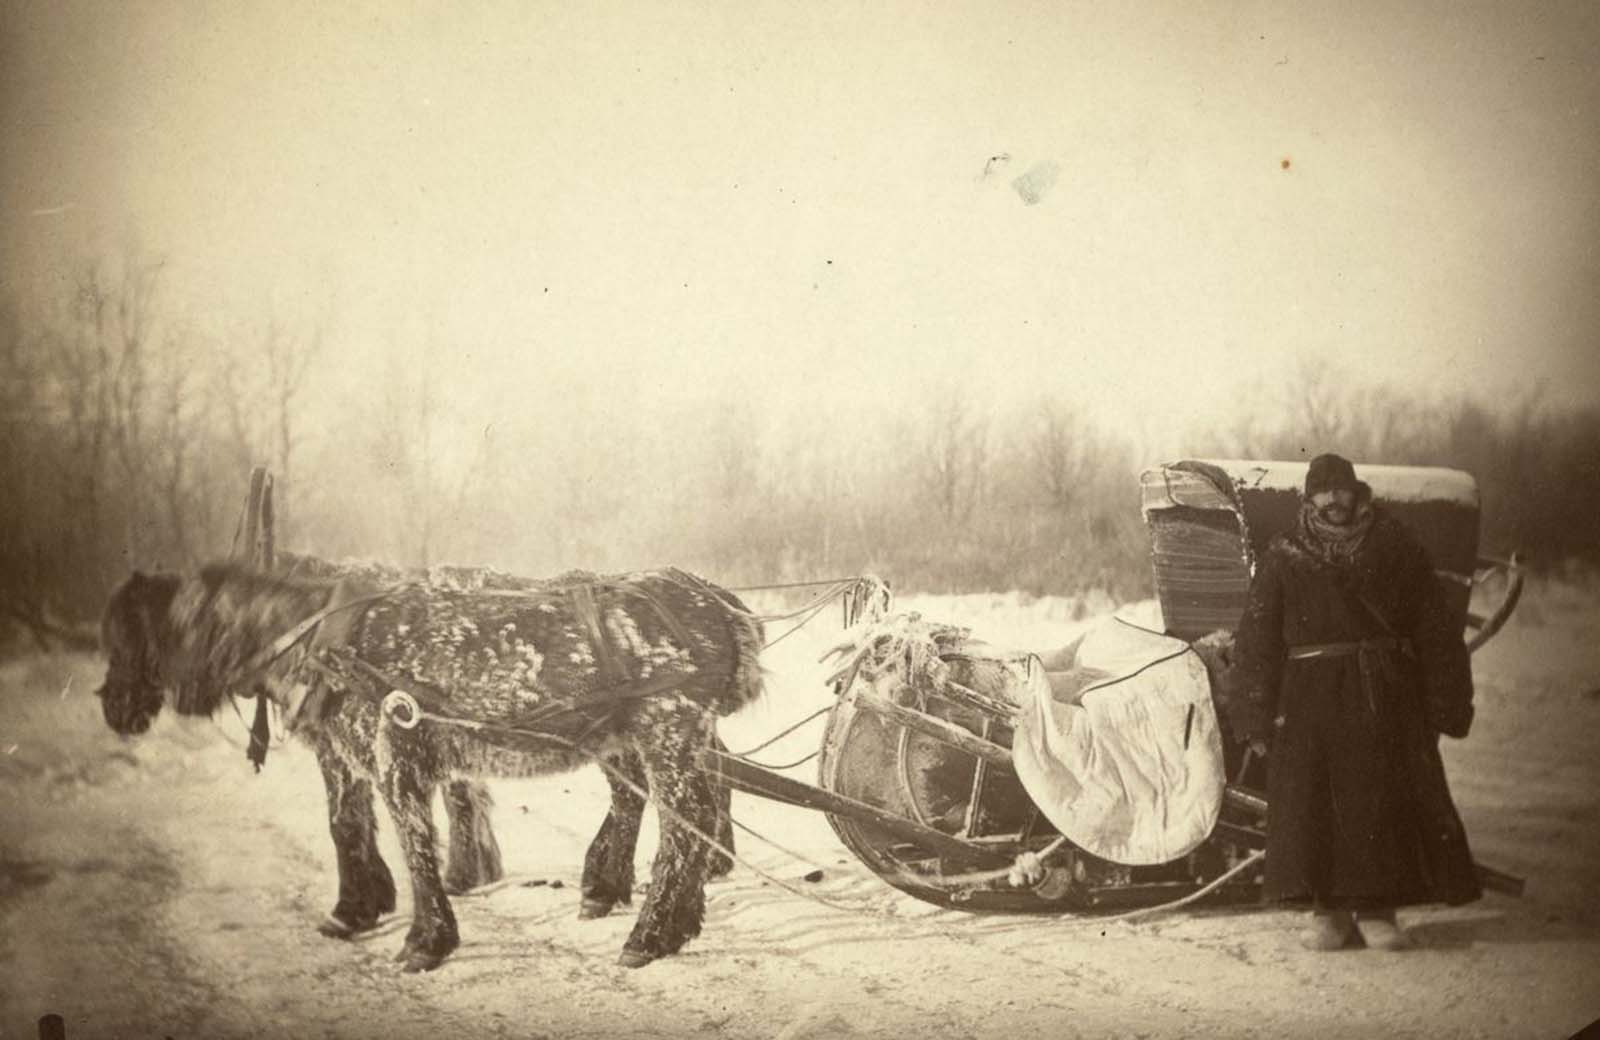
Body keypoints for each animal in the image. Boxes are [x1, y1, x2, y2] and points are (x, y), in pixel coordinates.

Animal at [96, 553, 764, 966]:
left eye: (126, 636)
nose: (112, 708)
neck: (321, 638)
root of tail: (714, 602)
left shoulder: (395, 759)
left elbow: (412, 844)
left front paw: (424, 939)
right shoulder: (356, 756)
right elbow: (355, 827)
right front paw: (362, 908)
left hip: (667, 735)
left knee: (685, 827)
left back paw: (650, 932)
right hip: (642, 741)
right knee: (677, 815)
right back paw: (660, 914)